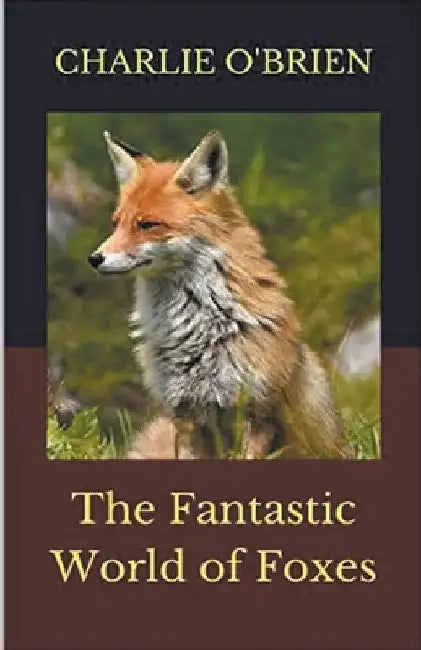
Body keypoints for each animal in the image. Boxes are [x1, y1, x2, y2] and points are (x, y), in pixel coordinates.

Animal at [88, 129, 352, 460]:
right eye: (116, 223)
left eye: (147, 225)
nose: (95, 258)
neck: (199, 327)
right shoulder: (185, 415)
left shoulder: (257, 413)